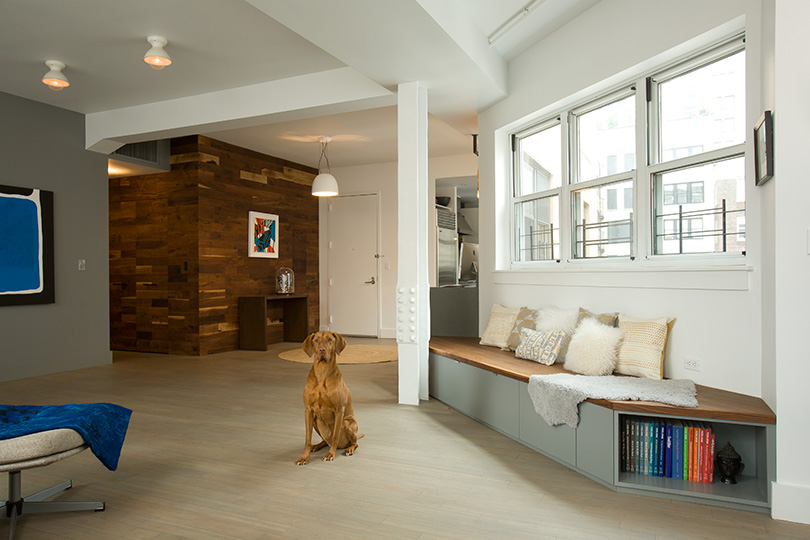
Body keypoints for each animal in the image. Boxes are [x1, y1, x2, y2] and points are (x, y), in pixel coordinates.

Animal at [295, 331, 363, 465]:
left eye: (329, 339)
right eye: (316, 340)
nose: (322, 350)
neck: (322, 371)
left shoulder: (339, 410)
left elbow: (336, 435)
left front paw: (331, 454)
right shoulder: (308, 410)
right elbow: (307, 438)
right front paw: (304, 457)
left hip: (347, 422)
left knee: (354, 442)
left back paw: (349, 449)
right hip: (315, 420)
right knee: (325, 441)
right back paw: (317, 445)